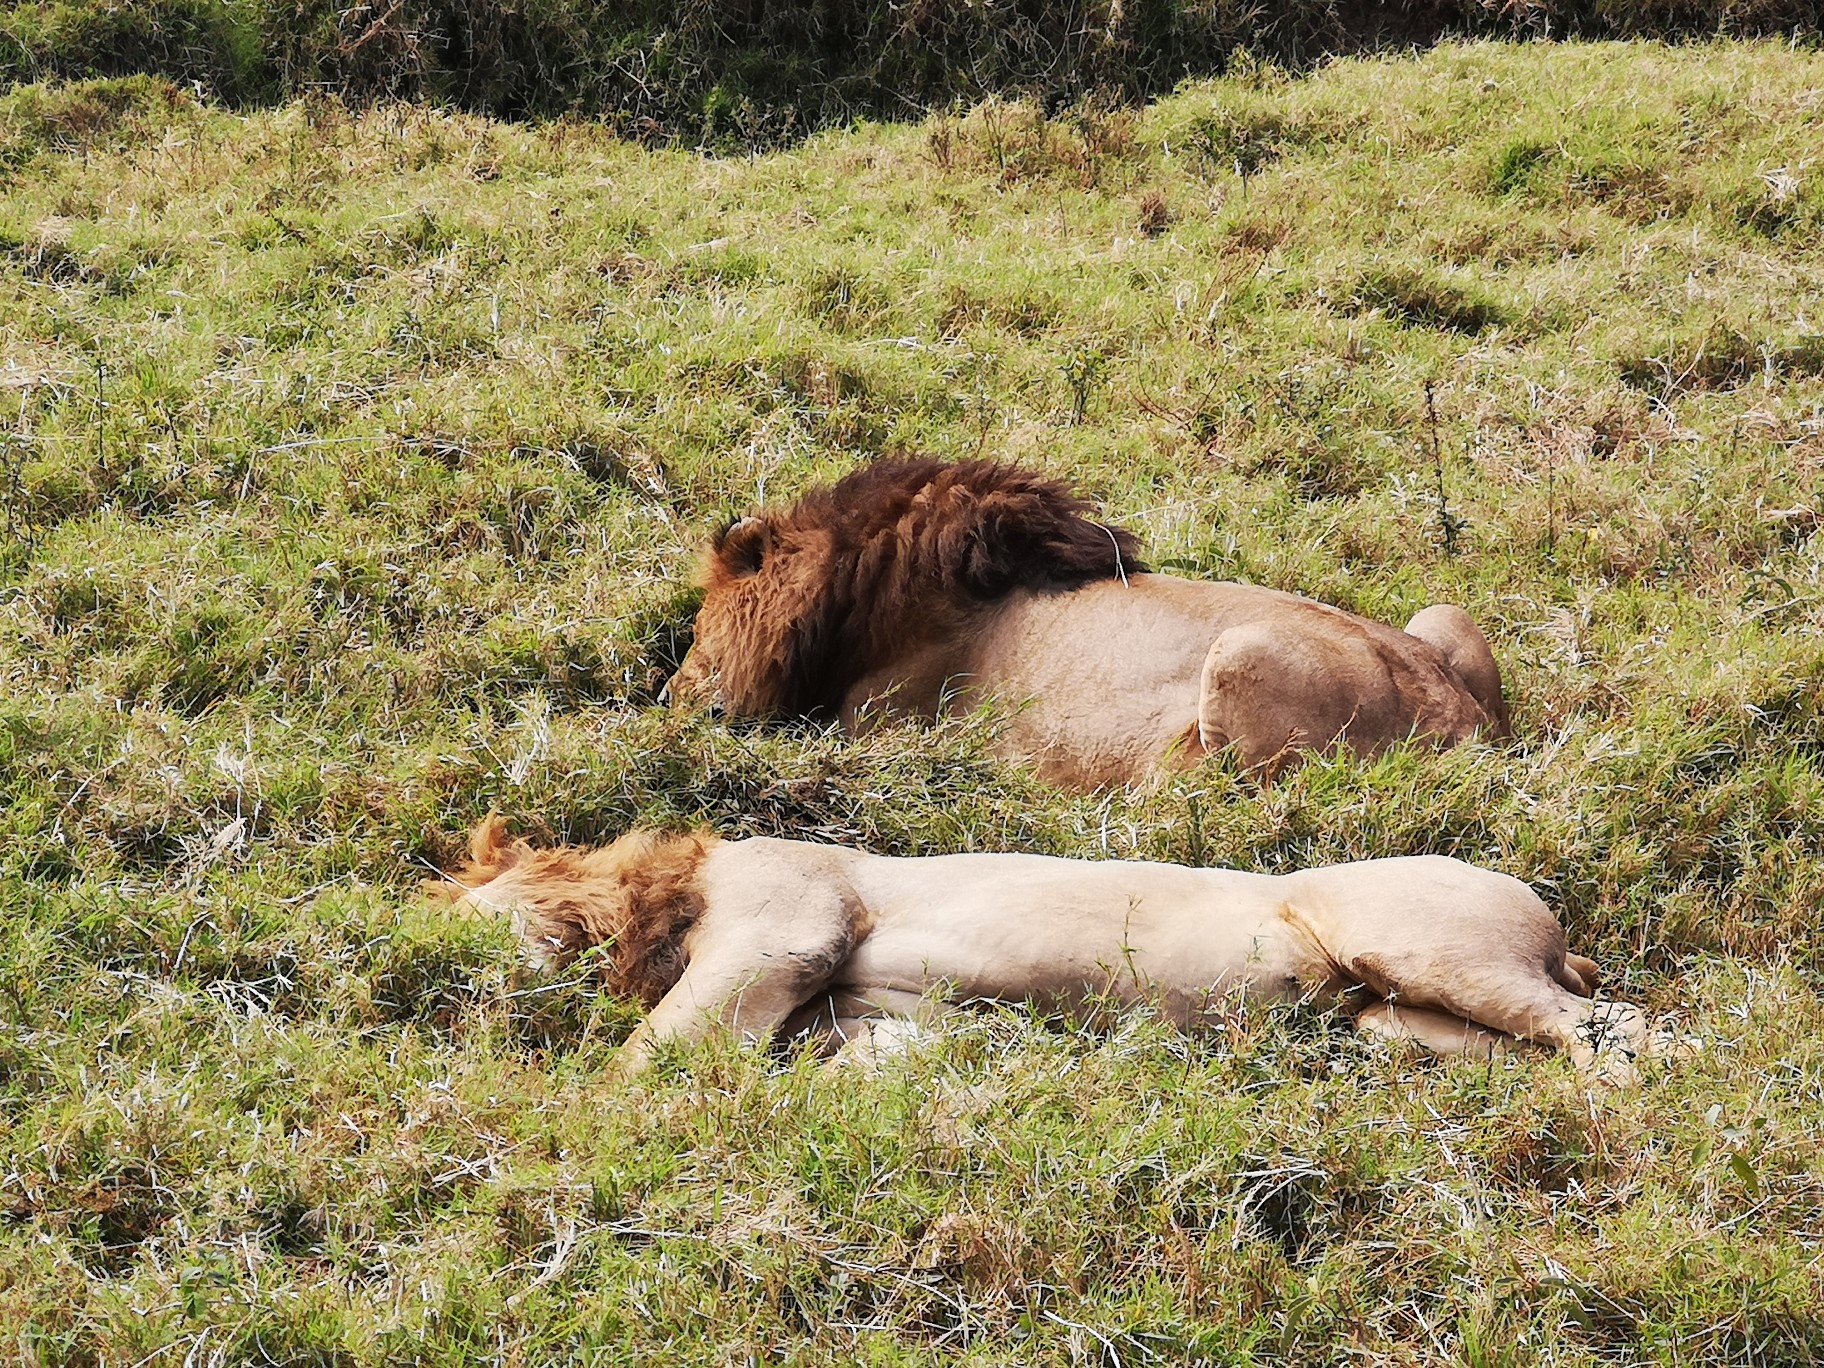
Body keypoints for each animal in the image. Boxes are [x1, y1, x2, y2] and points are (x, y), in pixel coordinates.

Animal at [660, 461, 1510, 787]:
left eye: (697, 628)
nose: (669, 695)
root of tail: (1462, 724)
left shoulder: (876, 724)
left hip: (1240, 654)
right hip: (1446, 621)